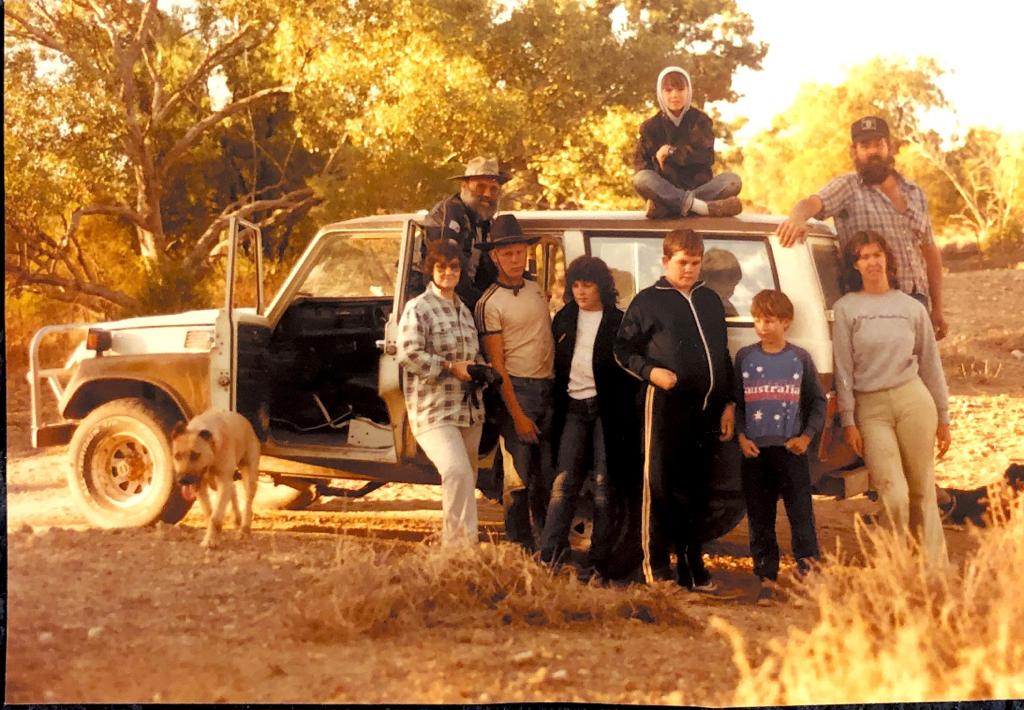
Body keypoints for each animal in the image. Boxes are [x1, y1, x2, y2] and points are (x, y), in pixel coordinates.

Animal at [171, 403, 260, 549]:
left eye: (195, 455)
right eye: (177, 456)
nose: (182, 480)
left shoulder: (223, 481)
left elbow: (216, 516)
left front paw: (211, 540)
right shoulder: (201, 487)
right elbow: (209, 513)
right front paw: (213, 535)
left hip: (250, 476)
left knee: (248, 503)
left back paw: (244, 530)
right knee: (233, 491)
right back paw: (237, 519)